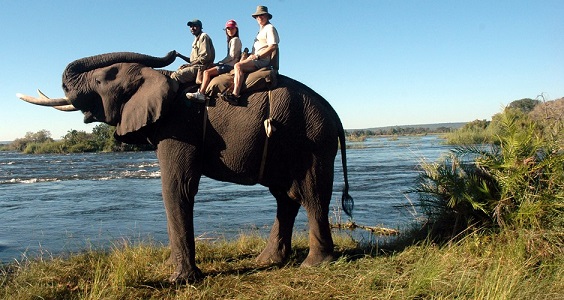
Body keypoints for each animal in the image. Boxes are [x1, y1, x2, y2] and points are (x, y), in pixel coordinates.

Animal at [16, 50, 352, 282]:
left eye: (101, 81)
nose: (174, 52)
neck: (158, 76)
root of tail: (334, 114)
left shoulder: (181, 126)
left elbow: (177, 186)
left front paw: (180, 280)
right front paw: (172, 269)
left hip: (312, 141)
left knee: (311, 195)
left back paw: (314, 264)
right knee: (286, 196)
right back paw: (267, 262)